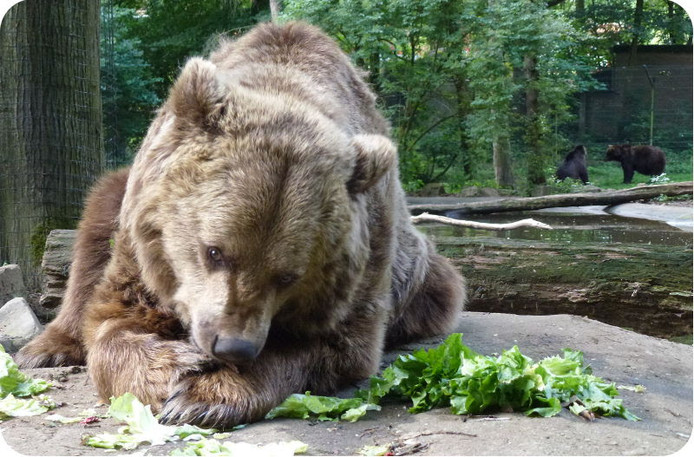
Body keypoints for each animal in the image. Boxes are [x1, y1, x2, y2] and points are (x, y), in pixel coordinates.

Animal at [14, 21, 468, 428]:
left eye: (289, 276)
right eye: (214, 251)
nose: (233, 346)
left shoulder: (363, 267)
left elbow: (330, 346)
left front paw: (205, 394)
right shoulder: (146, 249)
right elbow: (113, 321)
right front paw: (177, 367)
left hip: (418, 272)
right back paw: (46, 347)